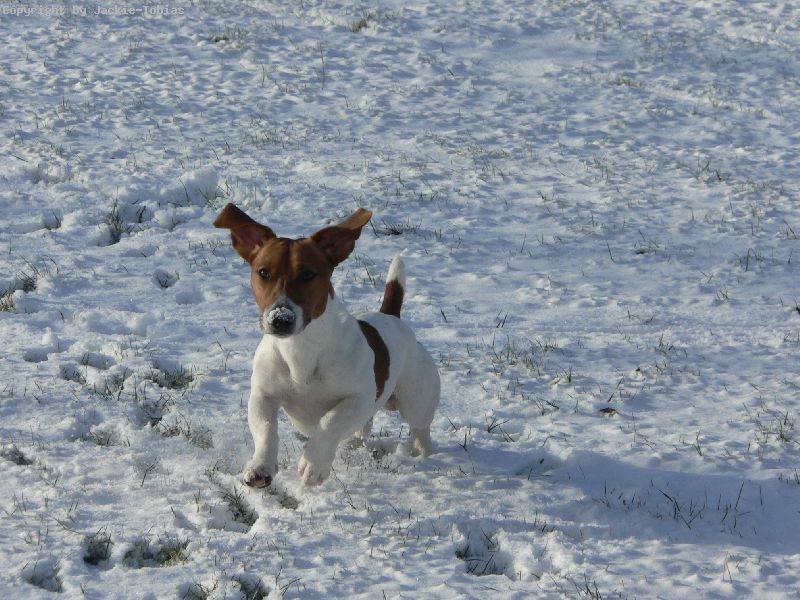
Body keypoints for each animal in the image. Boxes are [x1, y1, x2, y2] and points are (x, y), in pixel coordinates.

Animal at [214, 204, 440, 487]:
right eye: (263, 272)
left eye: (308, 274)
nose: (280, 319)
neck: (301, 348)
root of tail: (391, 316)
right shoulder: (263, 395)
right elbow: (266, 428)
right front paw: (260, 466)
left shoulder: (359, 398)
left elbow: (330, 422)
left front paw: (314, 464)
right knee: (362, 430)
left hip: (416, 399)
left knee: (420, 429)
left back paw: (425, 456)